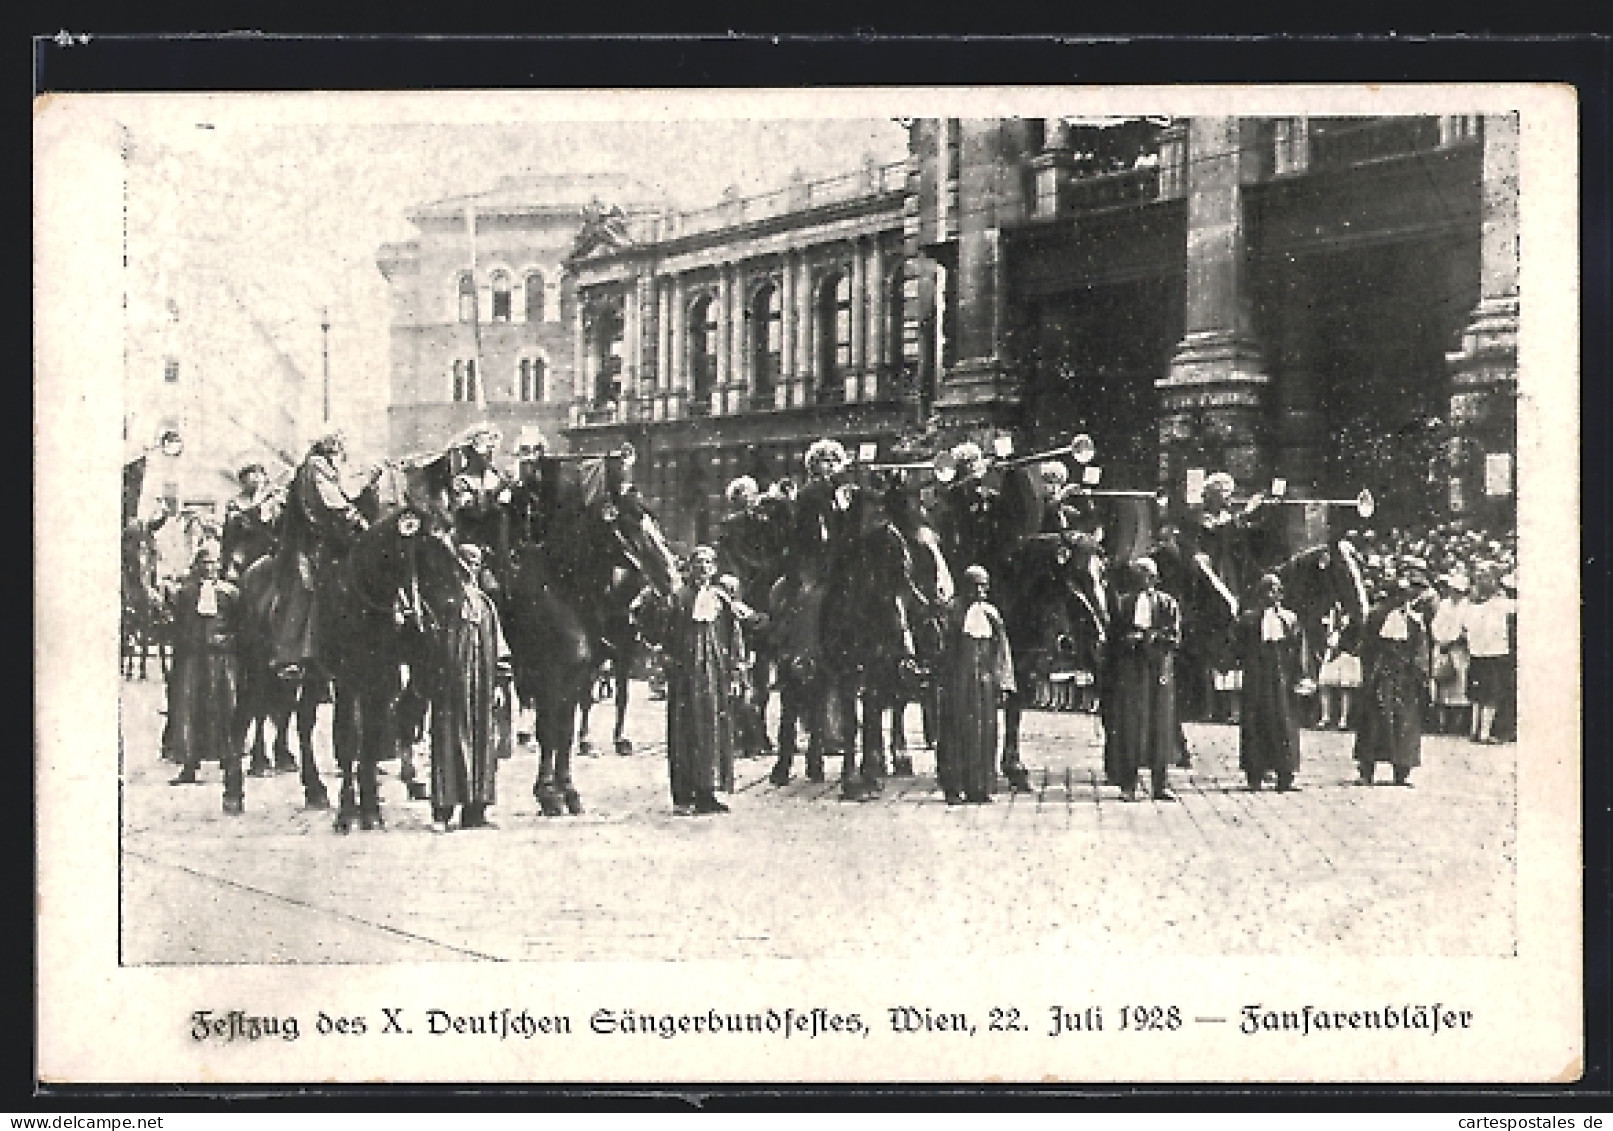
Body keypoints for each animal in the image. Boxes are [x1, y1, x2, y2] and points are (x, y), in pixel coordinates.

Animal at [503, 454, 680, 816]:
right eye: (632, 520)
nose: (671, 575)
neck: (557, 587)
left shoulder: (581, 670)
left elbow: (565, 730)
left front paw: (567, 790)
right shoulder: (550, 673)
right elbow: (548, 729)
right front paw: (547, 793)